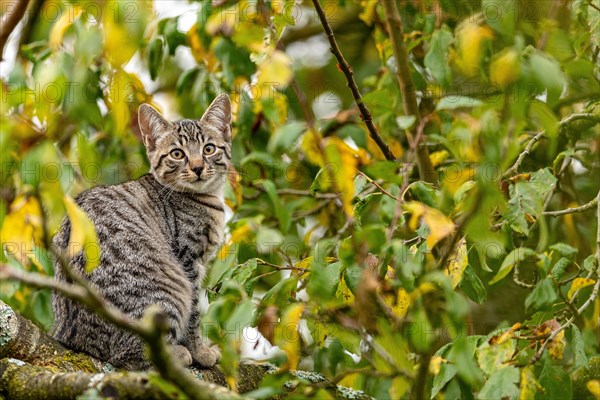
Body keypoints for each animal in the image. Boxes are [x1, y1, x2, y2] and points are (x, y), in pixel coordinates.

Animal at [51, 95, 232, 370]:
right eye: (177, 154)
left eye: (208, 149)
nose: (198, 167)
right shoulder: (187, 260)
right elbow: (193, 316)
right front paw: (200, 351)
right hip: (169, 289)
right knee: (131, 355)